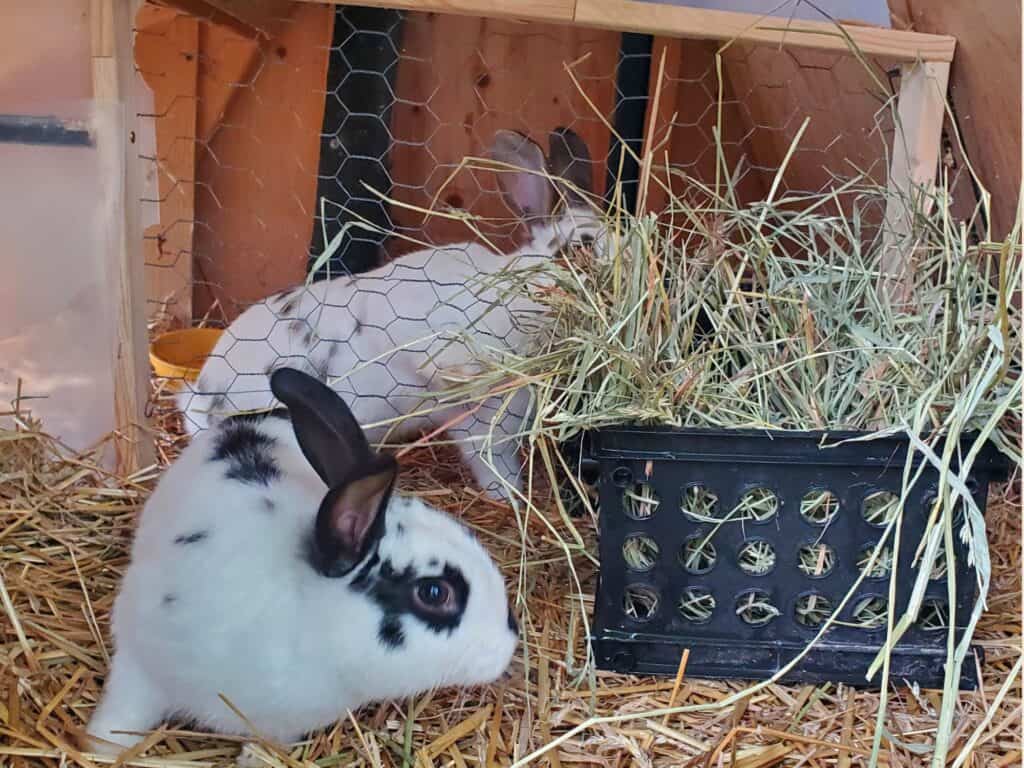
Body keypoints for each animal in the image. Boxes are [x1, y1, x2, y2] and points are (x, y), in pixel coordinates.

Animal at [85, 367, 519, 762]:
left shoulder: (278, 728)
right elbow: (120, 717)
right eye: (433, 592)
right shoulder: (139, 661)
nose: (510, 642)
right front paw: (99, 751)